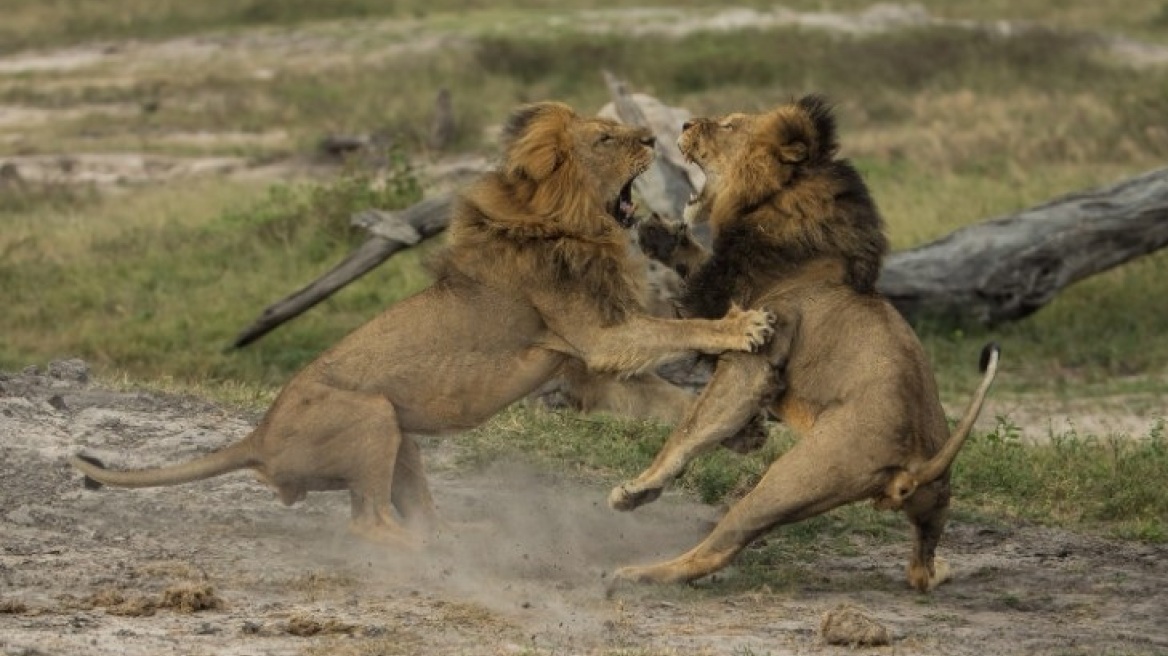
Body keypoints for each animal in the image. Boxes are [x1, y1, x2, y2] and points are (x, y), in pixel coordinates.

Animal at [70, 99, 775, 543]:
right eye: (606, 139)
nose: (654, 139)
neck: (568, 225)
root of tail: (257, 437)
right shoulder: (598, 337)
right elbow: (671, 334)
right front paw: (742, 326)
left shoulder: (585, 371)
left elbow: (668, 402)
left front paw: (743, 433)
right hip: (370, 416)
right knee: (369, 526)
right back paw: (434, 556)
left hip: (399, 433)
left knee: (410, 513)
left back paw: (462, 533)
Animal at [607, 95, 999, 592]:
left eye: (730, 125)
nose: (686, 123)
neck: (771, 208)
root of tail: (916, 464)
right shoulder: (729, 296)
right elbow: (696, 264)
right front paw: (658, 235)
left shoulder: (754, 358)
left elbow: (691, 430)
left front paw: (638, 489)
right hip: (933, 505)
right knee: (921, 568)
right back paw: (939, 569)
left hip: (790, 479)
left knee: (718, 547)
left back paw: (638, 573)